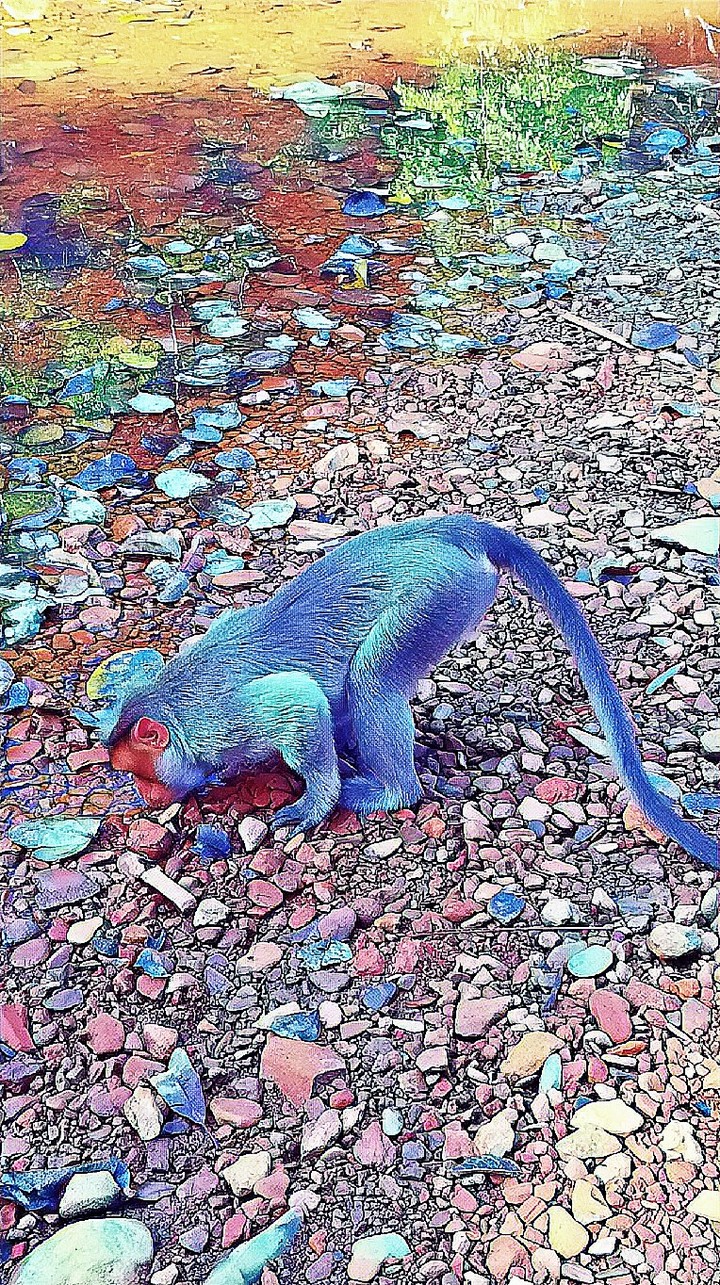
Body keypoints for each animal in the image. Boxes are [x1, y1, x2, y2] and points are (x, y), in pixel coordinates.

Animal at [106, 514, 718, 868]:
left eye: (140, 773)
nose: (148, 799)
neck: (176, 702)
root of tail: (453, 531)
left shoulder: (226, 721)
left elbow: (300, 701)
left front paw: (315, 800)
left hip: (441, 592)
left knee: (372, 674)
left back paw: (391, 790)